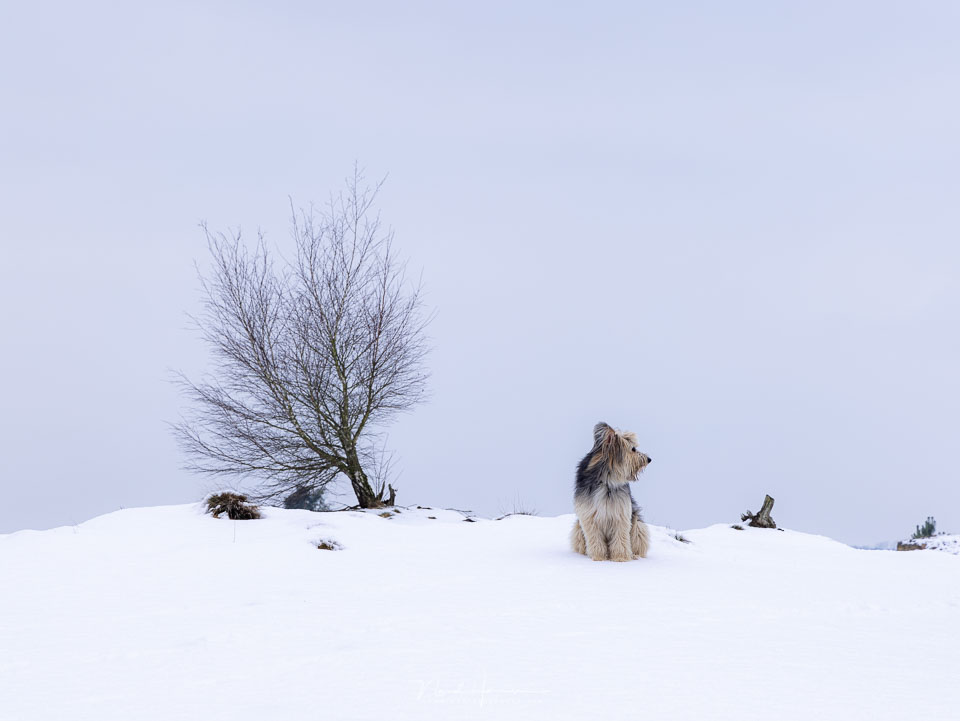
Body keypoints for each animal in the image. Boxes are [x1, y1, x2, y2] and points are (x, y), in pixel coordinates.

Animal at [568, 422, 652, 564]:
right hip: (577, 529)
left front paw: (621, 558)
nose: (649, 459)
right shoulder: (589, 516)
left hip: (638, 527)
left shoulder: (621, 514)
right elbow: (595, 538)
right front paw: (598, 557)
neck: (607, 480)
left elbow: (621, 537)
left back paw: (635, 556)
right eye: (633, 449)